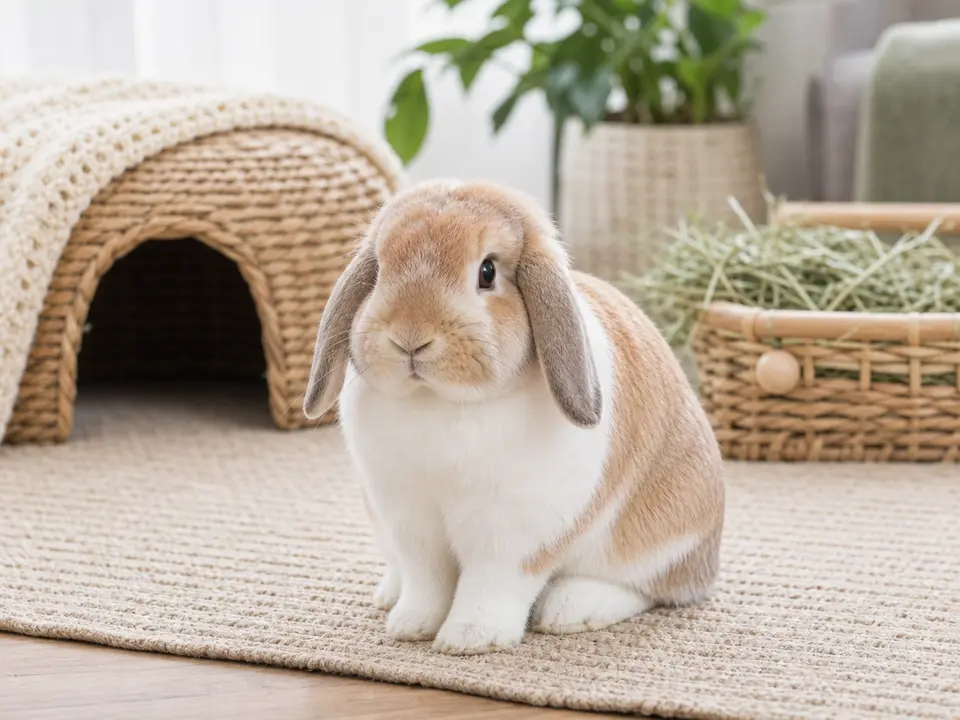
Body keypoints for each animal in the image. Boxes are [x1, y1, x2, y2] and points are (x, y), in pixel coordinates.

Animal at [303, 179, 725, 655]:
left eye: (487, 272)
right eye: (379, 273)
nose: (410, 338)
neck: (441, 403)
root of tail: (707, 561)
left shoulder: (513, 536)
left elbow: (491, 584)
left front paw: (470, 638)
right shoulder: (409, 521)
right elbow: (426, 580)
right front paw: (411, 625)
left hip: (662, 542)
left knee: (649, 588)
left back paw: (569, 609)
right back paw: (390, 594)